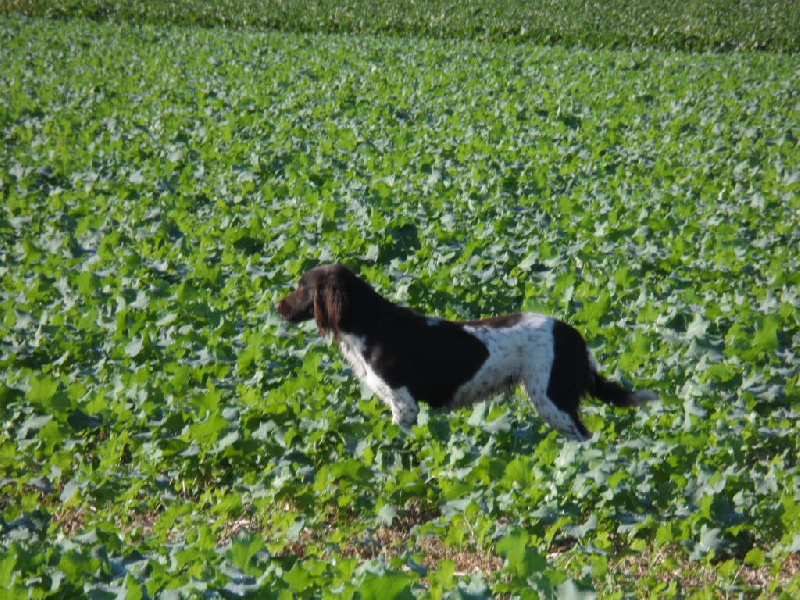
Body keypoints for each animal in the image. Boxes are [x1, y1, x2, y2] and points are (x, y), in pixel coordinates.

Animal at [276, 262, 656, 440]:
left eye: (302, 287)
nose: (276, 307)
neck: (369, 324)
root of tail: (573, 335)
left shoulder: (405, 404)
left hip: (552, 399)